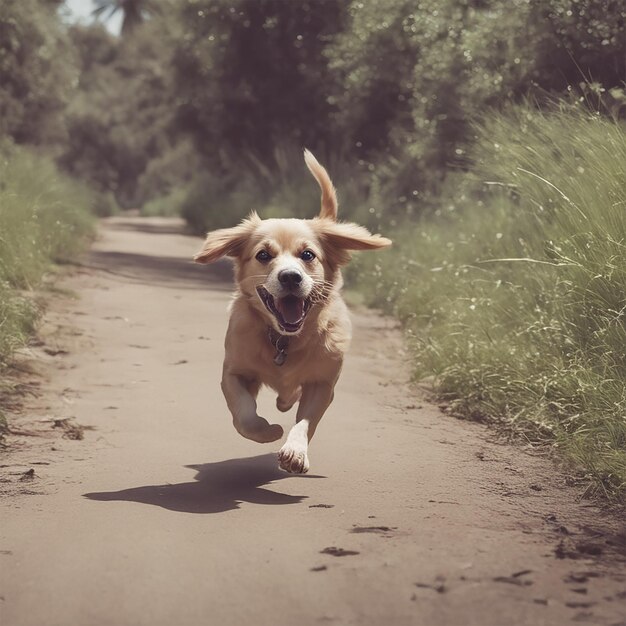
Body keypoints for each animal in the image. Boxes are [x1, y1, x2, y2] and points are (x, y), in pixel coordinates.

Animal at [194, 150, 390, 472]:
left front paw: (295, 451)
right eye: (263, 255)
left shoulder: (322, 383)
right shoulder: (233, 372)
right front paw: (268, 431)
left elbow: (306, 421)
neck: (284, 340)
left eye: (307, 254)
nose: (290, 277)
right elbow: (244, 414)